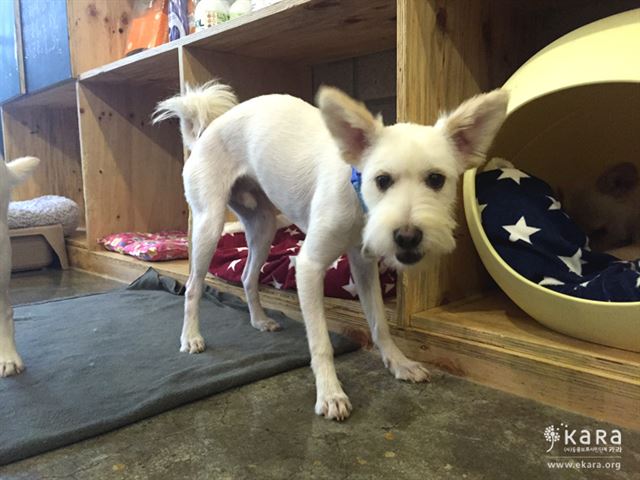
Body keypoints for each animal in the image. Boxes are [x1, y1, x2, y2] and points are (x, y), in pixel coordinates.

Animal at [154, 83, 504, 420]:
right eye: (382, 180)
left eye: (436, 179)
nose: (407, 237)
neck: (357, 192)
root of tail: (203, 133)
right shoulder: (308, 266)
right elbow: (321, 342)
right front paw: (330, 393)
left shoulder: (364, 266)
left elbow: (380, 322)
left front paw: (398, 362)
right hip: (208, 225)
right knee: (193, 286)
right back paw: (191, 337)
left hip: (263, 227)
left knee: (247, 276)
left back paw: (259, 320)